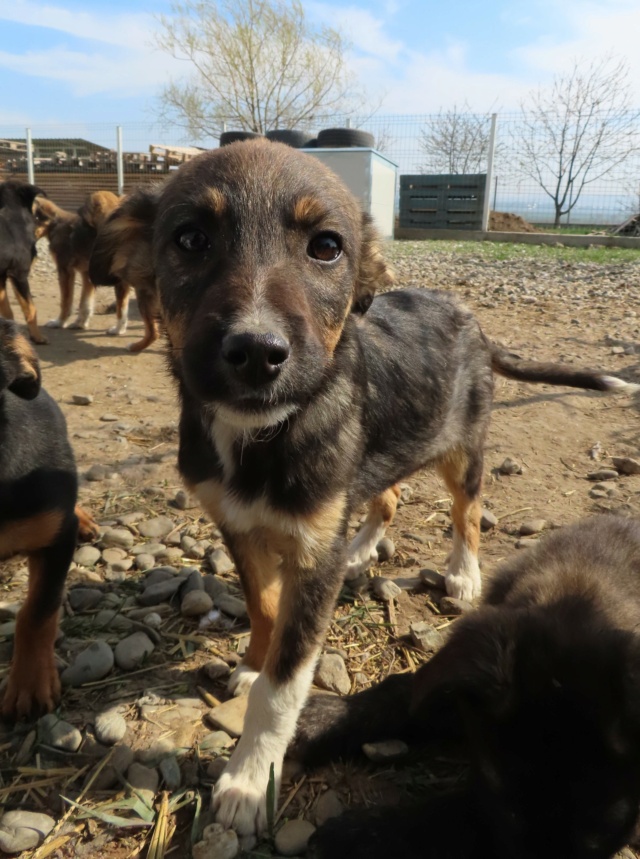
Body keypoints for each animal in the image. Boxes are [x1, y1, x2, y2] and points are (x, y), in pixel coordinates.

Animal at [296, 516, 640, 859]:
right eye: (510, 809)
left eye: (598, 832)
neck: (581, 588)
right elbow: (405, 692)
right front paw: (324, 719)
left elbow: (457, 815)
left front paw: (364, 834)